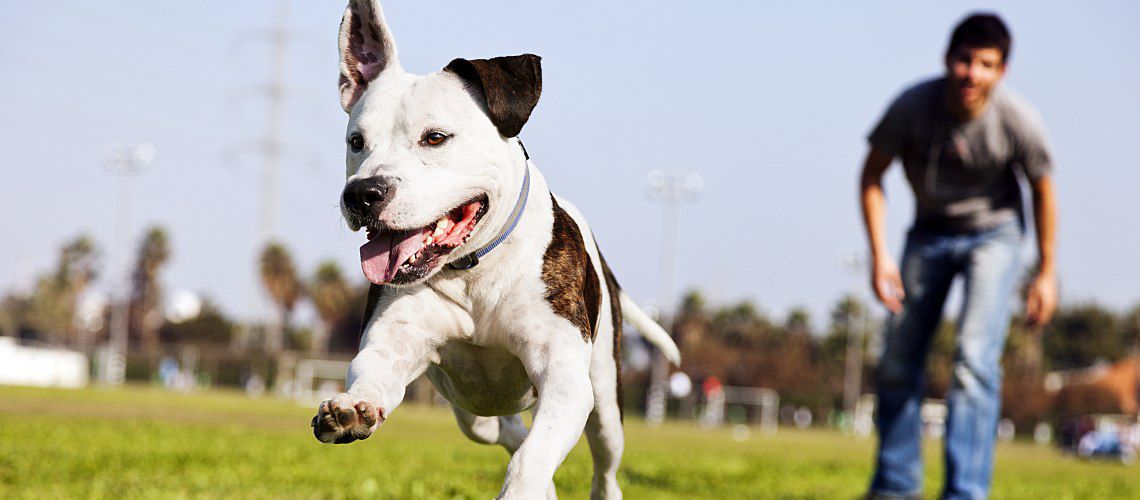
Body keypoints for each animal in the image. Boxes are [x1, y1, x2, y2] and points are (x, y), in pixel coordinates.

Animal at [314, 1, 674, 498]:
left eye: (435, 137)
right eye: (356, 142)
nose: (363, 193)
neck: (473, 270)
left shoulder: (563, 378)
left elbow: (533, 456)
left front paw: (522, 487)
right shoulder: (394, 339)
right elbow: (374, 370)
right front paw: (352, 409)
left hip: (604, 397)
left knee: (602, 462)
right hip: (472, 411)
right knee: (504, 430)